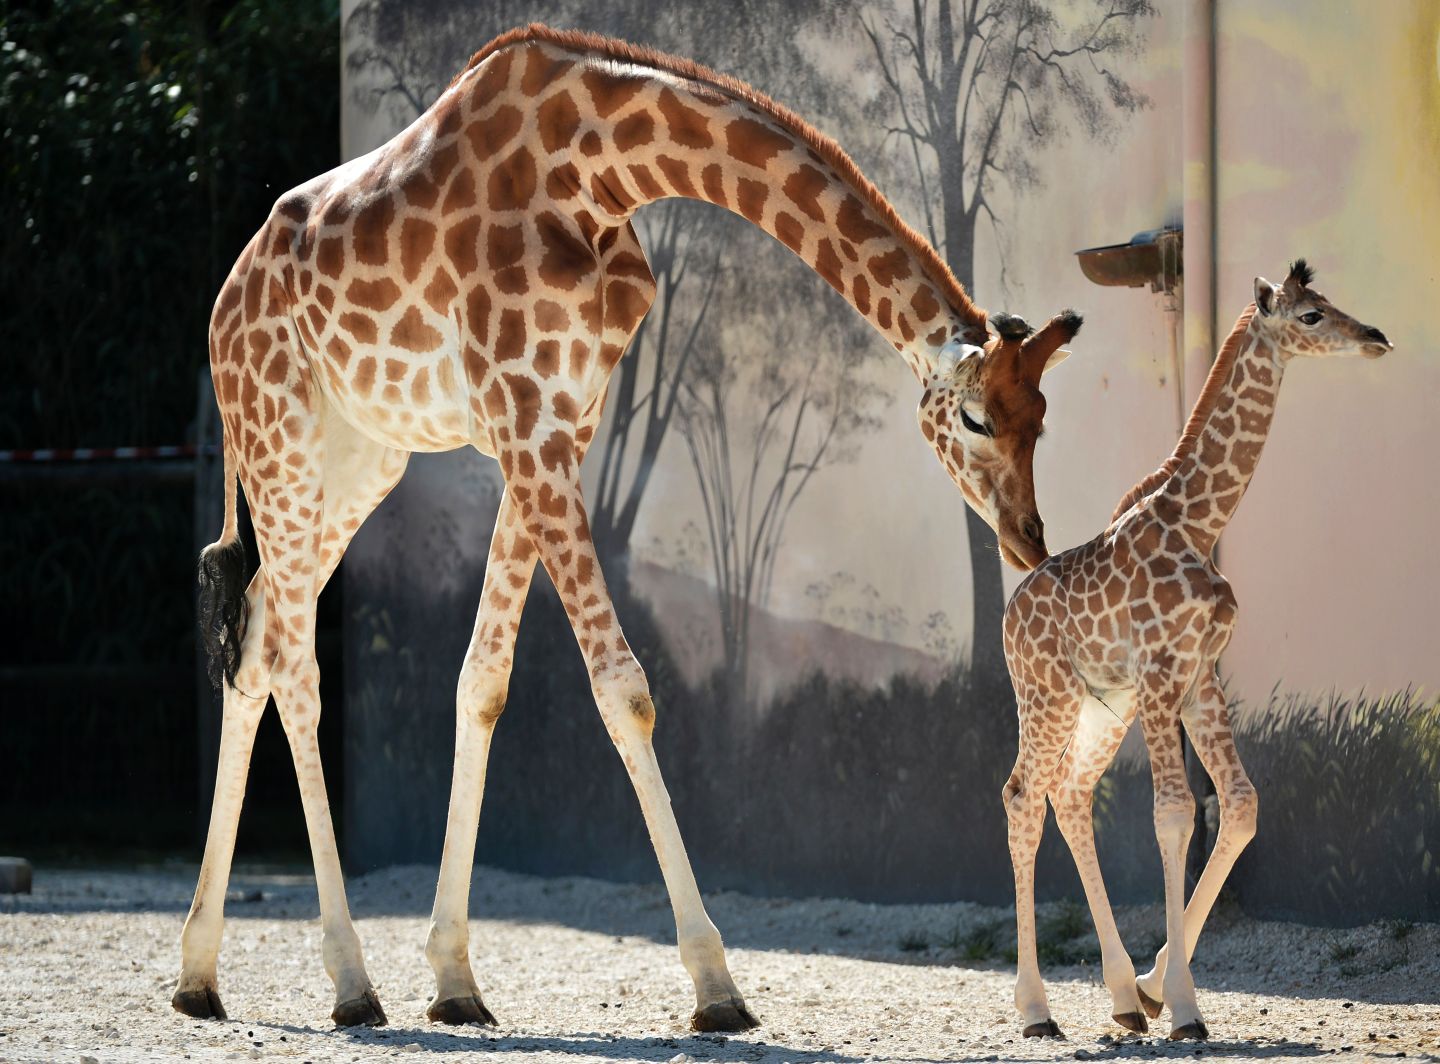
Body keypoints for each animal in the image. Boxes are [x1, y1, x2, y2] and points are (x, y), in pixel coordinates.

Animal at [174, 24, 1084, 1032]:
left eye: (1044, 420)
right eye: (976, 420)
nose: (1028, 540)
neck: (601, 165)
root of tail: (219, 311)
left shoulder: (557, 422)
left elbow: (482, 682)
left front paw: (455, 980)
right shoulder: (524, 417)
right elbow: (625, 690)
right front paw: (717, 986)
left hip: (359, 461)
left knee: (257, 639)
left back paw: (201, 974)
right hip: (282, 440)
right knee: (293, 663)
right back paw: (345, 981)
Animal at [998, 261, 1390, 1041]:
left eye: (1329, 302)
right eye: (1309, 316)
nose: (1375, 336)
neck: (1200, 521)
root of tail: (1007, 615)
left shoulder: (1199, 674)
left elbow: (1239, 806)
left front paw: (1156, 987)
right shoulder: (1160, 671)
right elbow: (1175, 813)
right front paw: (1183, 1006)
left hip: (1103, 707)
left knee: (1070, 792)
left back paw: (1122, 997)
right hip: (1046, 695)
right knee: (1023, 795)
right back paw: (1036, 1011)